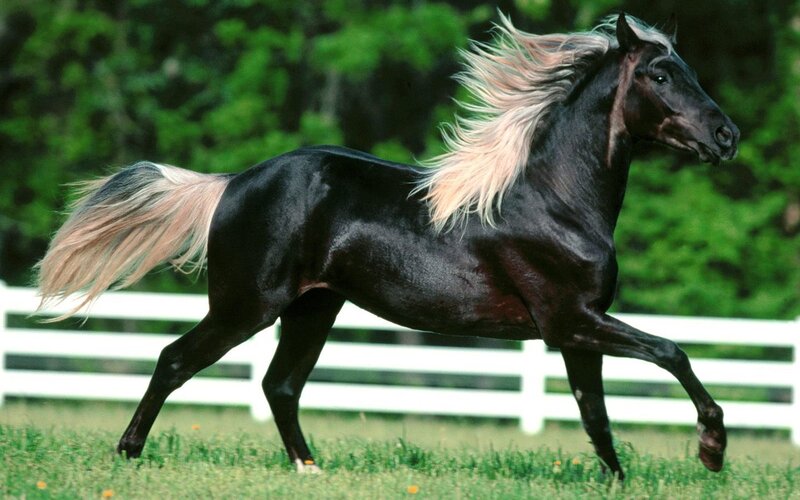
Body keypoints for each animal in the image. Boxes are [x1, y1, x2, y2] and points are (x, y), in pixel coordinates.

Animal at [36, 13, 739, 479]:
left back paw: (311, 470)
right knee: (175, 360)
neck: (555, 200)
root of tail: (232, 183)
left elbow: (595, 414)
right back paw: (128, 455)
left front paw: (618, 481)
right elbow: (671, 352)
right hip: (246, 306)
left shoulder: (576, 328)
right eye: (660, 74)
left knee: (279, 385)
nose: (727, 137)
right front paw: (711, 450)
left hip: (313, 308)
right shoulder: (571, 319)